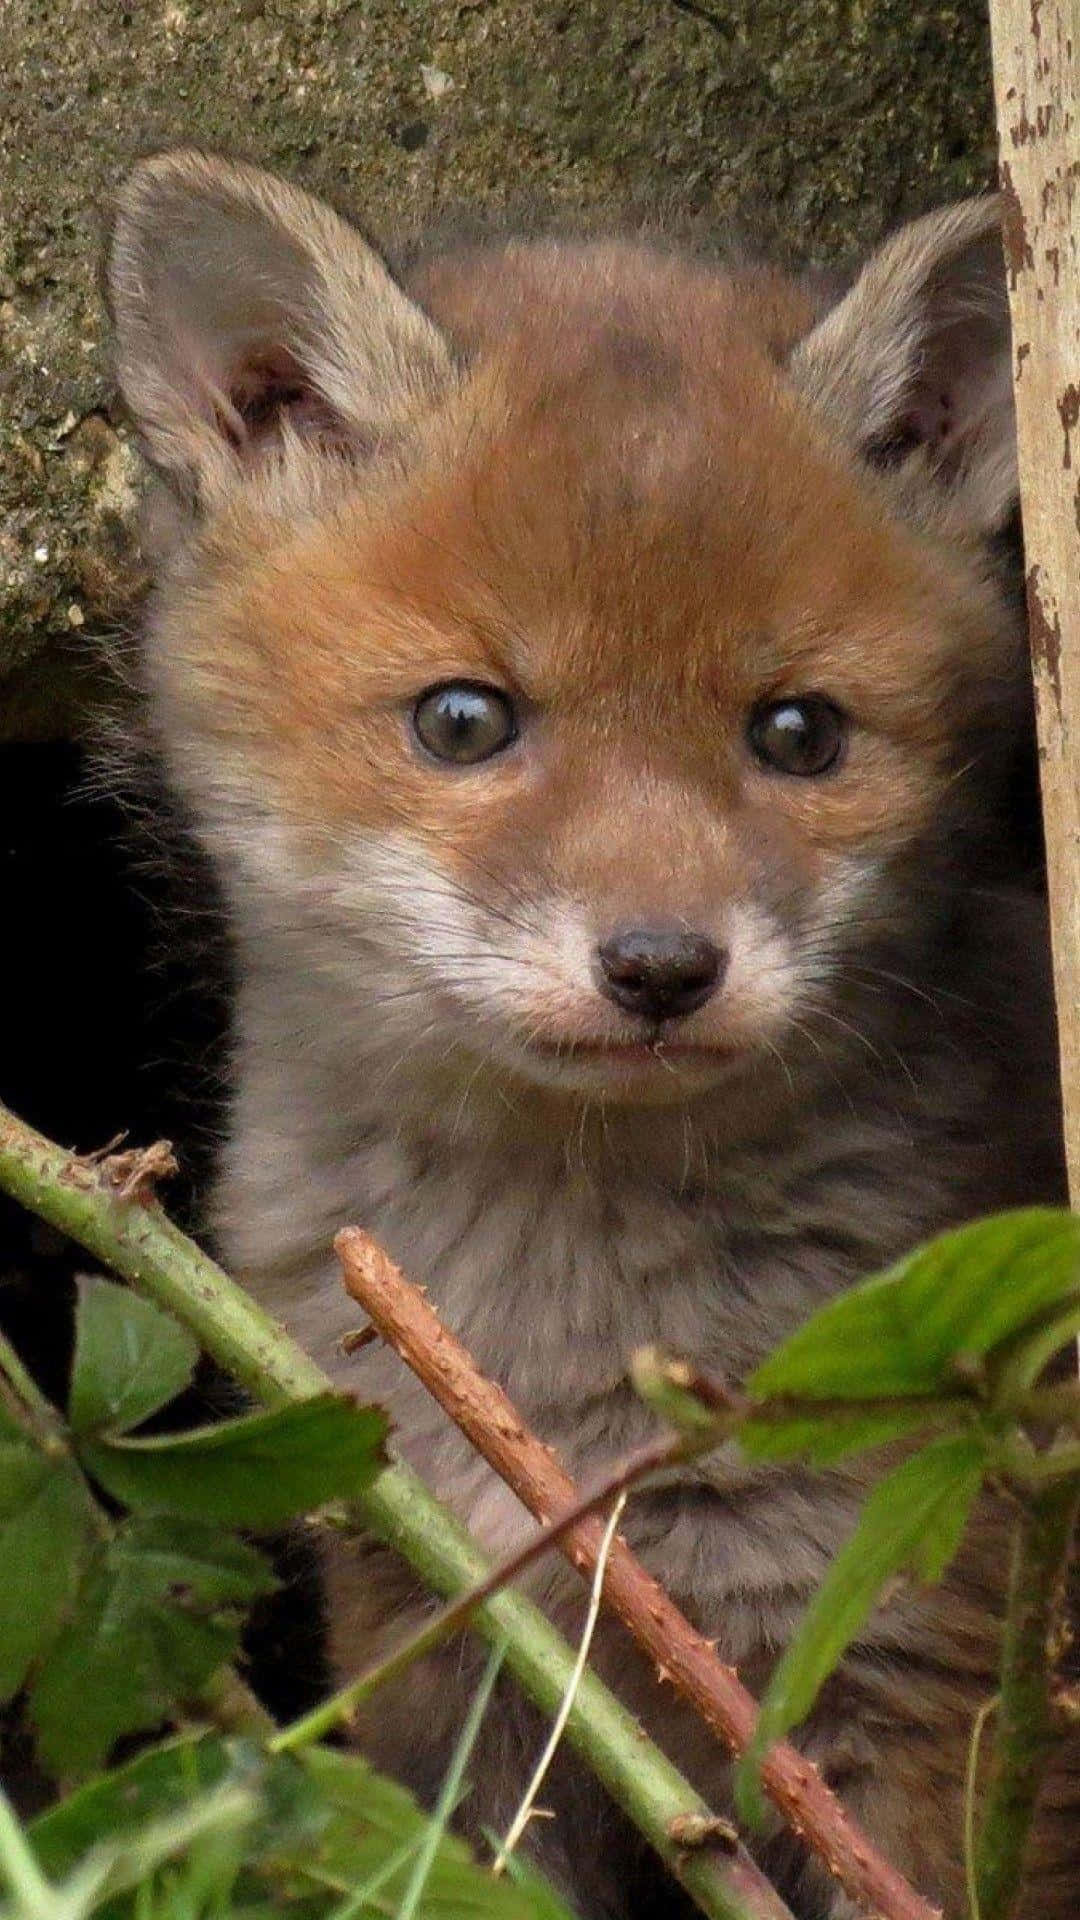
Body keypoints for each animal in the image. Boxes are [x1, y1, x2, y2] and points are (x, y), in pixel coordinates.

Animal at [106, 150, 1078, 1918]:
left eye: (798, 733)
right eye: (463, 721)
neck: (562, 1340)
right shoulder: (453, 1652)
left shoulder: (933, 1678)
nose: (661, 968)